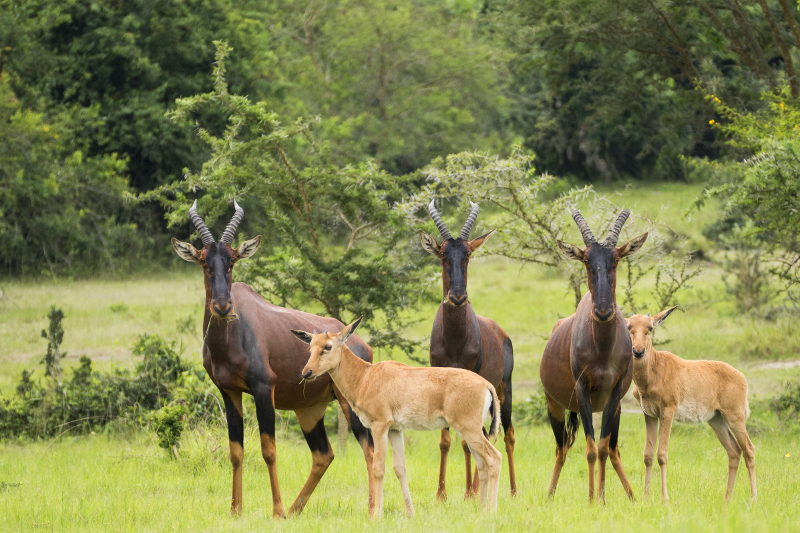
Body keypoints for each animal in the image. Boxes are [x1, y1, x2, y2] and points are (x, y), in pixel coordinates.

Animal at [170, 200, 376, 516]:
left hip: (349, 403)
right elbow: (236, 451)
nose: (223, 306)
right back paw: (295, 511)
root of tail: (359, 343)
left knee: (369, 447)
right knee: (324, 454)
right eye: (204, 260)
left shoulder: (264, 389)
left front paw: (276, 511)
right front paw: (236, 511)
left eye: (232, 260)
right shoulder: (229, 392)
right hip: (309, 410)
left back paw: (368, 509)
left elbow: (268, 450)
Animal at [290, 316, 504, 516]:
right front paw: (410, 513)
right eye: (310, 347)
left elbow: (378, 467)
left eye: (327, 346)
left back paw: (492, 511)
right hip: (470, 432)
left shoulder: (380, 426)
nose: (306, 373)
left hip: (469, 429)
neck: (365, 376)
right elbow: (400, 468)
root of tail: (487, 385)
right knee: (482, 465)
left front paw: (376, 515)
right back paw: (481, 510)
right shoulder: (395, 429)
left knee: (494, 458)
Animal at [418, 200, 520, 498]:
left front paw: (469, 493)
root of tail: (501, 332)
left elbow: (467, 442)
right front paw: (441, 494)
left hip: (503, 389)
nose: (457, 297)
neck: (455, 340)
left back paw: (511, 490)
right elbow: (445, 439)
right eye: (442, 253)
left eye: (468, 254)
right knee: (484, 435)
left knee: (506, 435)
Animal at [540, 209, 648, 502]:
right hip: (554, 405)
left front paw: (601, 499)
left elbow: (601, 447)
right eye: (587, 260)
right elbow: (589, 449)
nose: (602, 310)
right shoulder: (582, 390)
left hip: (617, 408)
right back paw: (550, 495)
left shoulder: (614, 393)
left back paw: (631, 496)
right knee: (561, 448)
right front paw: (591, 500)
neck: (602, 349)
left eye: (616, 259)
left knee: (611, 449)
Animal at [624, 310, 756, 500]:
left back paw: (753, 499)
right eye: (629, 327)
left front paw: (665, 499)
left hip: (735, 417)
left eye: (649, 327)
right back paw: (727, 499)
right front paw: (645, 498)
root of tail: (741, 376)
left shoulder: (668, 412)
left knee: (749, 450)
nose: (638, 351)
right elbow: (648, 455)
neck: (655, 368)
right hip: (716, 420)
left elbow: (662, 454)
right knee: (734, 451)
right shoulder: (649, 415)